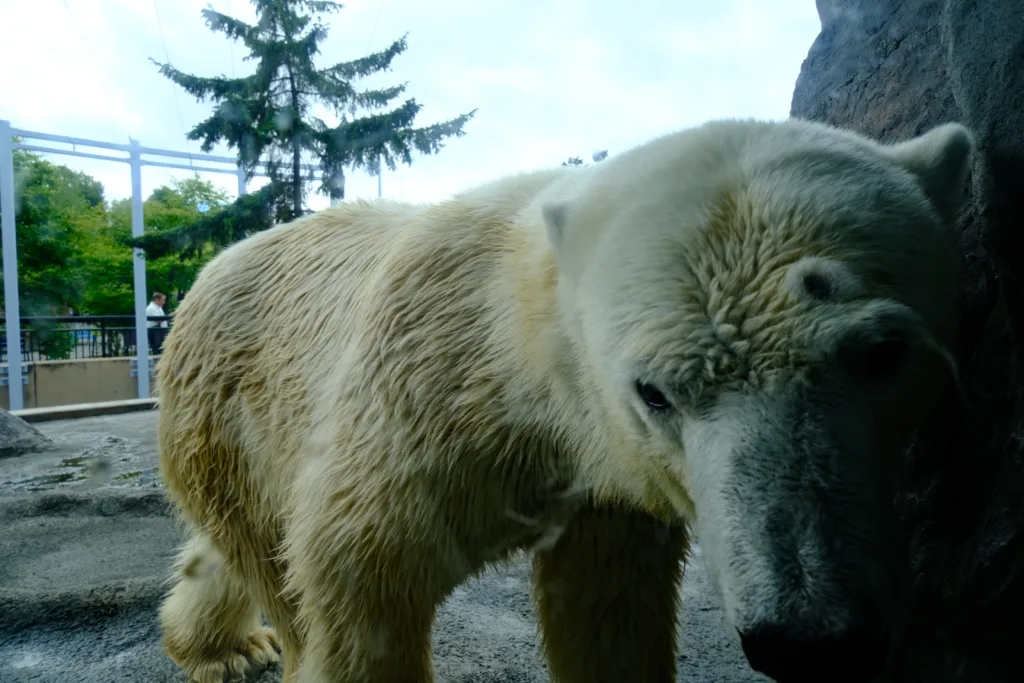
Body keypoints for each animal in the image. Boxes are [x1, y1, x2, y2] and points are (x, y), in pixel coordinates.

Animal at [155, 118, 970, 683]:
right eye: (655, 391)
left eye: (884, 354)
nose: (808, 639)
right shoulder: (410, 408)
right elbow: (354, 575)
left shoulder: (604, 489)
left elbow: (607, 608)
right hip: (232, 403)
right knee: (268, 552)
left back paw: (228, 646)